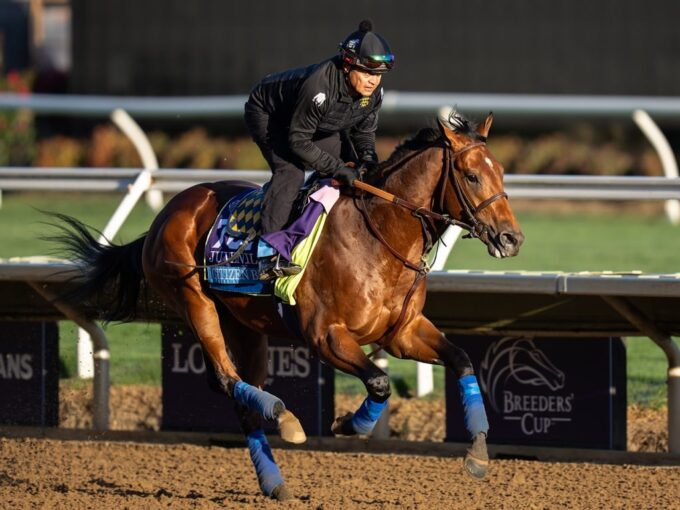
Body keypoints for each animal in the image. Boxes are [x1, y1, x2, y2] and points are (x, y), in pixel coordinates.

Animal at [57, 110, 524, 498]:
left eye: (501, 172)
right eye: (471, 175)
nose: (511, 239)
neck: (378, 236)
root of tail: (168, 212)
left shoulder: (402, 333)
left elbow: (461, 359)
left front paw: (478, 453)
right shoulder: (325, 336)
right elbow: (379, 382)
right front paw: (347, 424)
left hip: (244, 324)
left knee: (239, 390)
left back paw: (273, 477)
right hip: (193, 300)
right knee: (226, 379)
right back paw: (283, 418)